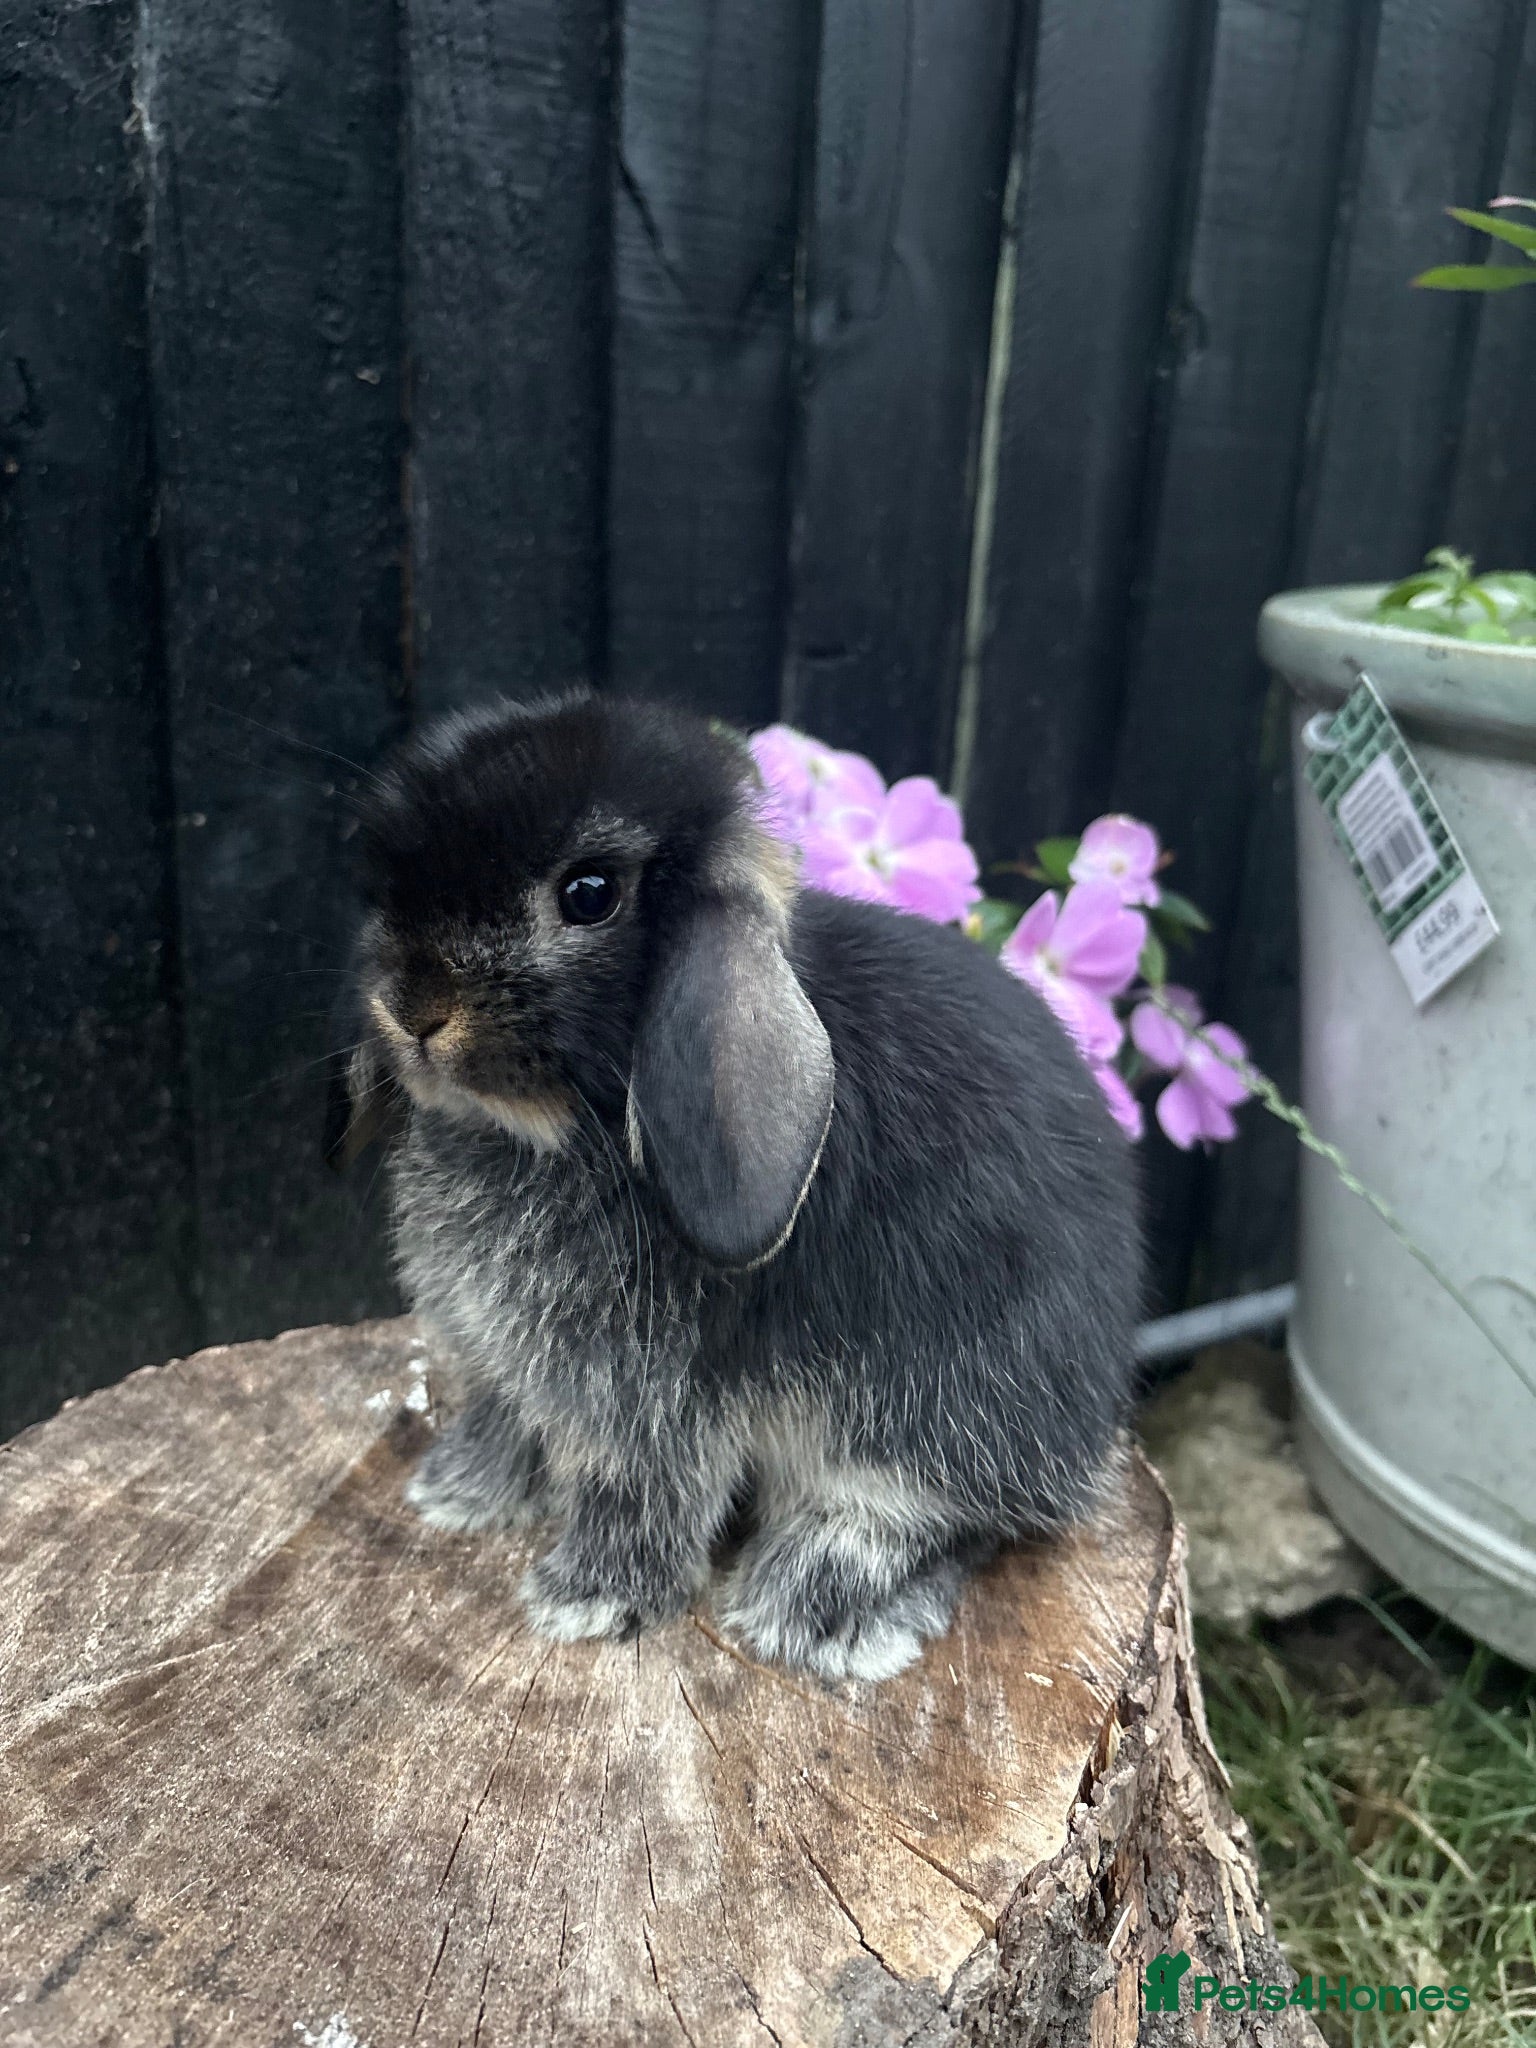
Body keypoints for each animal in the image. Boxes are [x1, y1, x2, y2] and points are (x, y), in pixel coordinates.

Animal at [330, 688, 1142, 1682]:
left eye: (588, 894)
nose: (411, 1009)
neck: (547, 1131)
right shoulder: (510, 1367)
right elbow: (507, 1418)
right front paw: (454, 1494)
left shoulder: (651, 1399)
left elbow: (640, 1489)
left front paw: (583, 1598)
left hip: (935, 1405)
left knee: (939, 1518)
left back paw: (809, 1613)